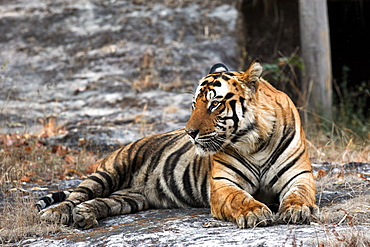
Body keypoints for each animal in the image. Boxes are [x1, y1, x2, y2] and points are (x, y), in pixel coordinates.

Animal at [36, 60, 316, 230]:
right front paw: (255, 212)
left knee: (102, 202)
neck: (255, 141)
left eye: (214, 104)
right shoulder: (223, 184)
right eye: (194, 105)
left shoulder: (299, 175)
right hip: (108, 172)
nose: (189, 133)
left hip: (131, 197)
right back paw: (57, 213)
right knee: (76, 195)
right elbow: (239, 198)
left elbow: (299, 194)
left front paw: (297, 210)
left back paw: (85, 215)